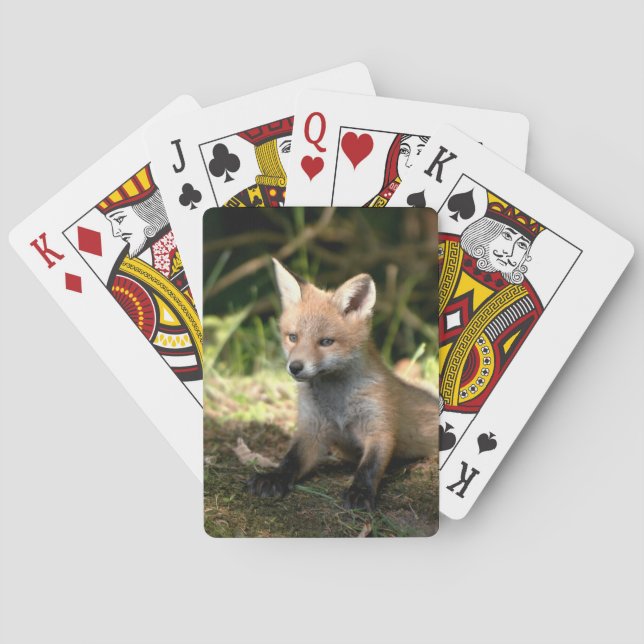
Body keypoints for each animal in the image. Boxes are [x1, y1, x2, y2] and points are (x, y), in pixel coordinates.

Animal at [248, 258, 439, 511]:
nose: (295, 367)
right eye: (293, 337)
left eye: (326, 342)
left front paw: (360, 492)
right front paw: (274, 477)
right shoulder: (312, 429)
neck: (337, 402)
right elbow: (291, 459)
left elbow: (369, 467)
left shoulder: (379, 427)